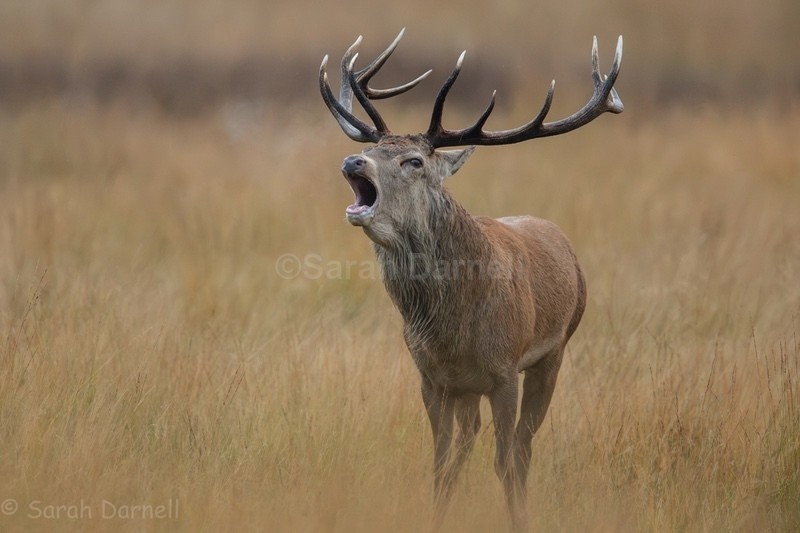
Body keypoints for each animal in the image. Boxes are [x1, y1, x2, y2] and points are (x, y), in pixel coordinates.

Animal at [319, 29, 623, 530]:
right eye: (373, 151)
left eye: (414, 162)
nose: (353, 161)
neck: (451, 330)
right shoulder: (431, 377)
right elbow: (441, 463)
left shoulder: (504, 370)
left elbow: (506, 461)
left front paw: (518, 519)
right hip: (468, 390)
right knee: (467, 443)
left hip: (554, 352)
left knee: (523, 448)